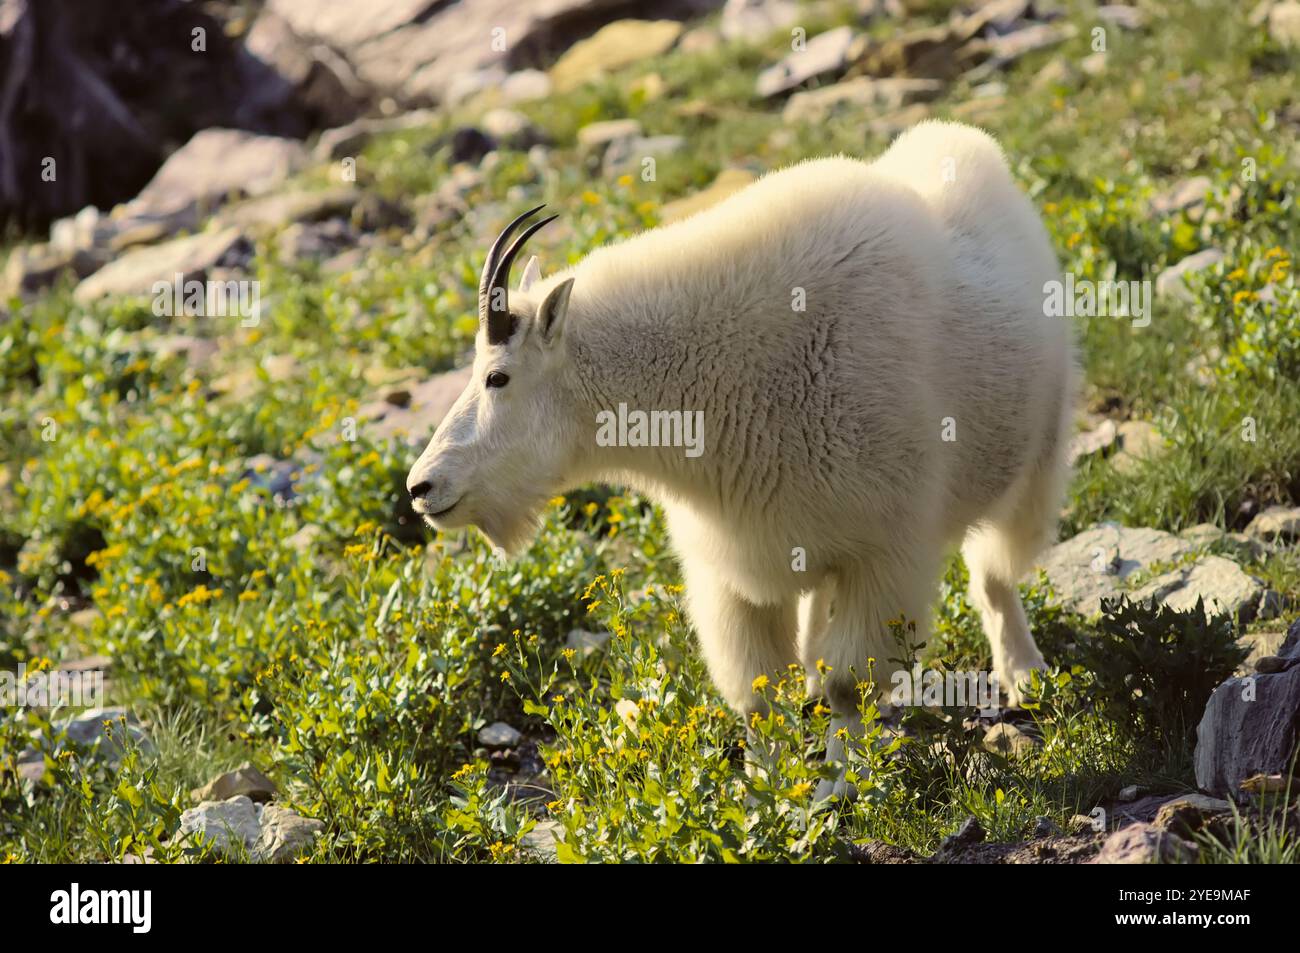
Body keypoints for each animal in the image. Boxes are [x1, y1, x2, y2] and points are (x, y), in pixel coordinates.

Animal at [408, 120, 1076, 795]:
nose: (421, 487)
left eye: (497, 377)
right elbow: (758, 693)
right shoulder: (732, 567)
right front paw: (763, 788)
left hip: (1036, 456)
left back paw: (1025, 672)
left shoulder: (886, 554)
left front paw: (839, 785)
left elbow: (849, 682)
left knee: (995, 572)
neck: (716, 376)